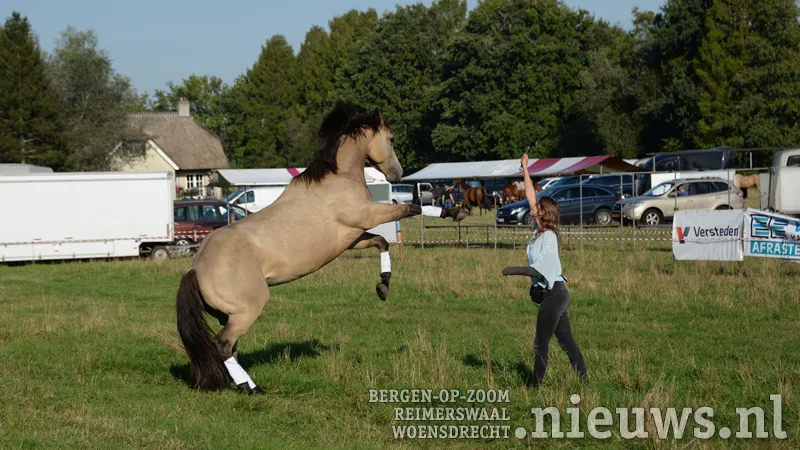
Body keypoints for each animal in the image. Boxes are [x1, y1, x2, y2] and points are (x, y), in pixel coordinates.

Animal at [176, 101, 467, 394]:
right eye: (392, 139)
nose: (398, 174)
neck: (337, 180)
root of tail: (195, 268)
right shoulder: (367, 215)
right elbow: (412, 208)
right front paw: (454, 213)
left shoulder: (352, 237)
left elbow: (381, 241)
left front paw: (383, 286)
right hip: (247, 310)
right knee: (223, 345)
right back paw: (253, 388)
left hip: (228, 315)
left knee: (231, 348)